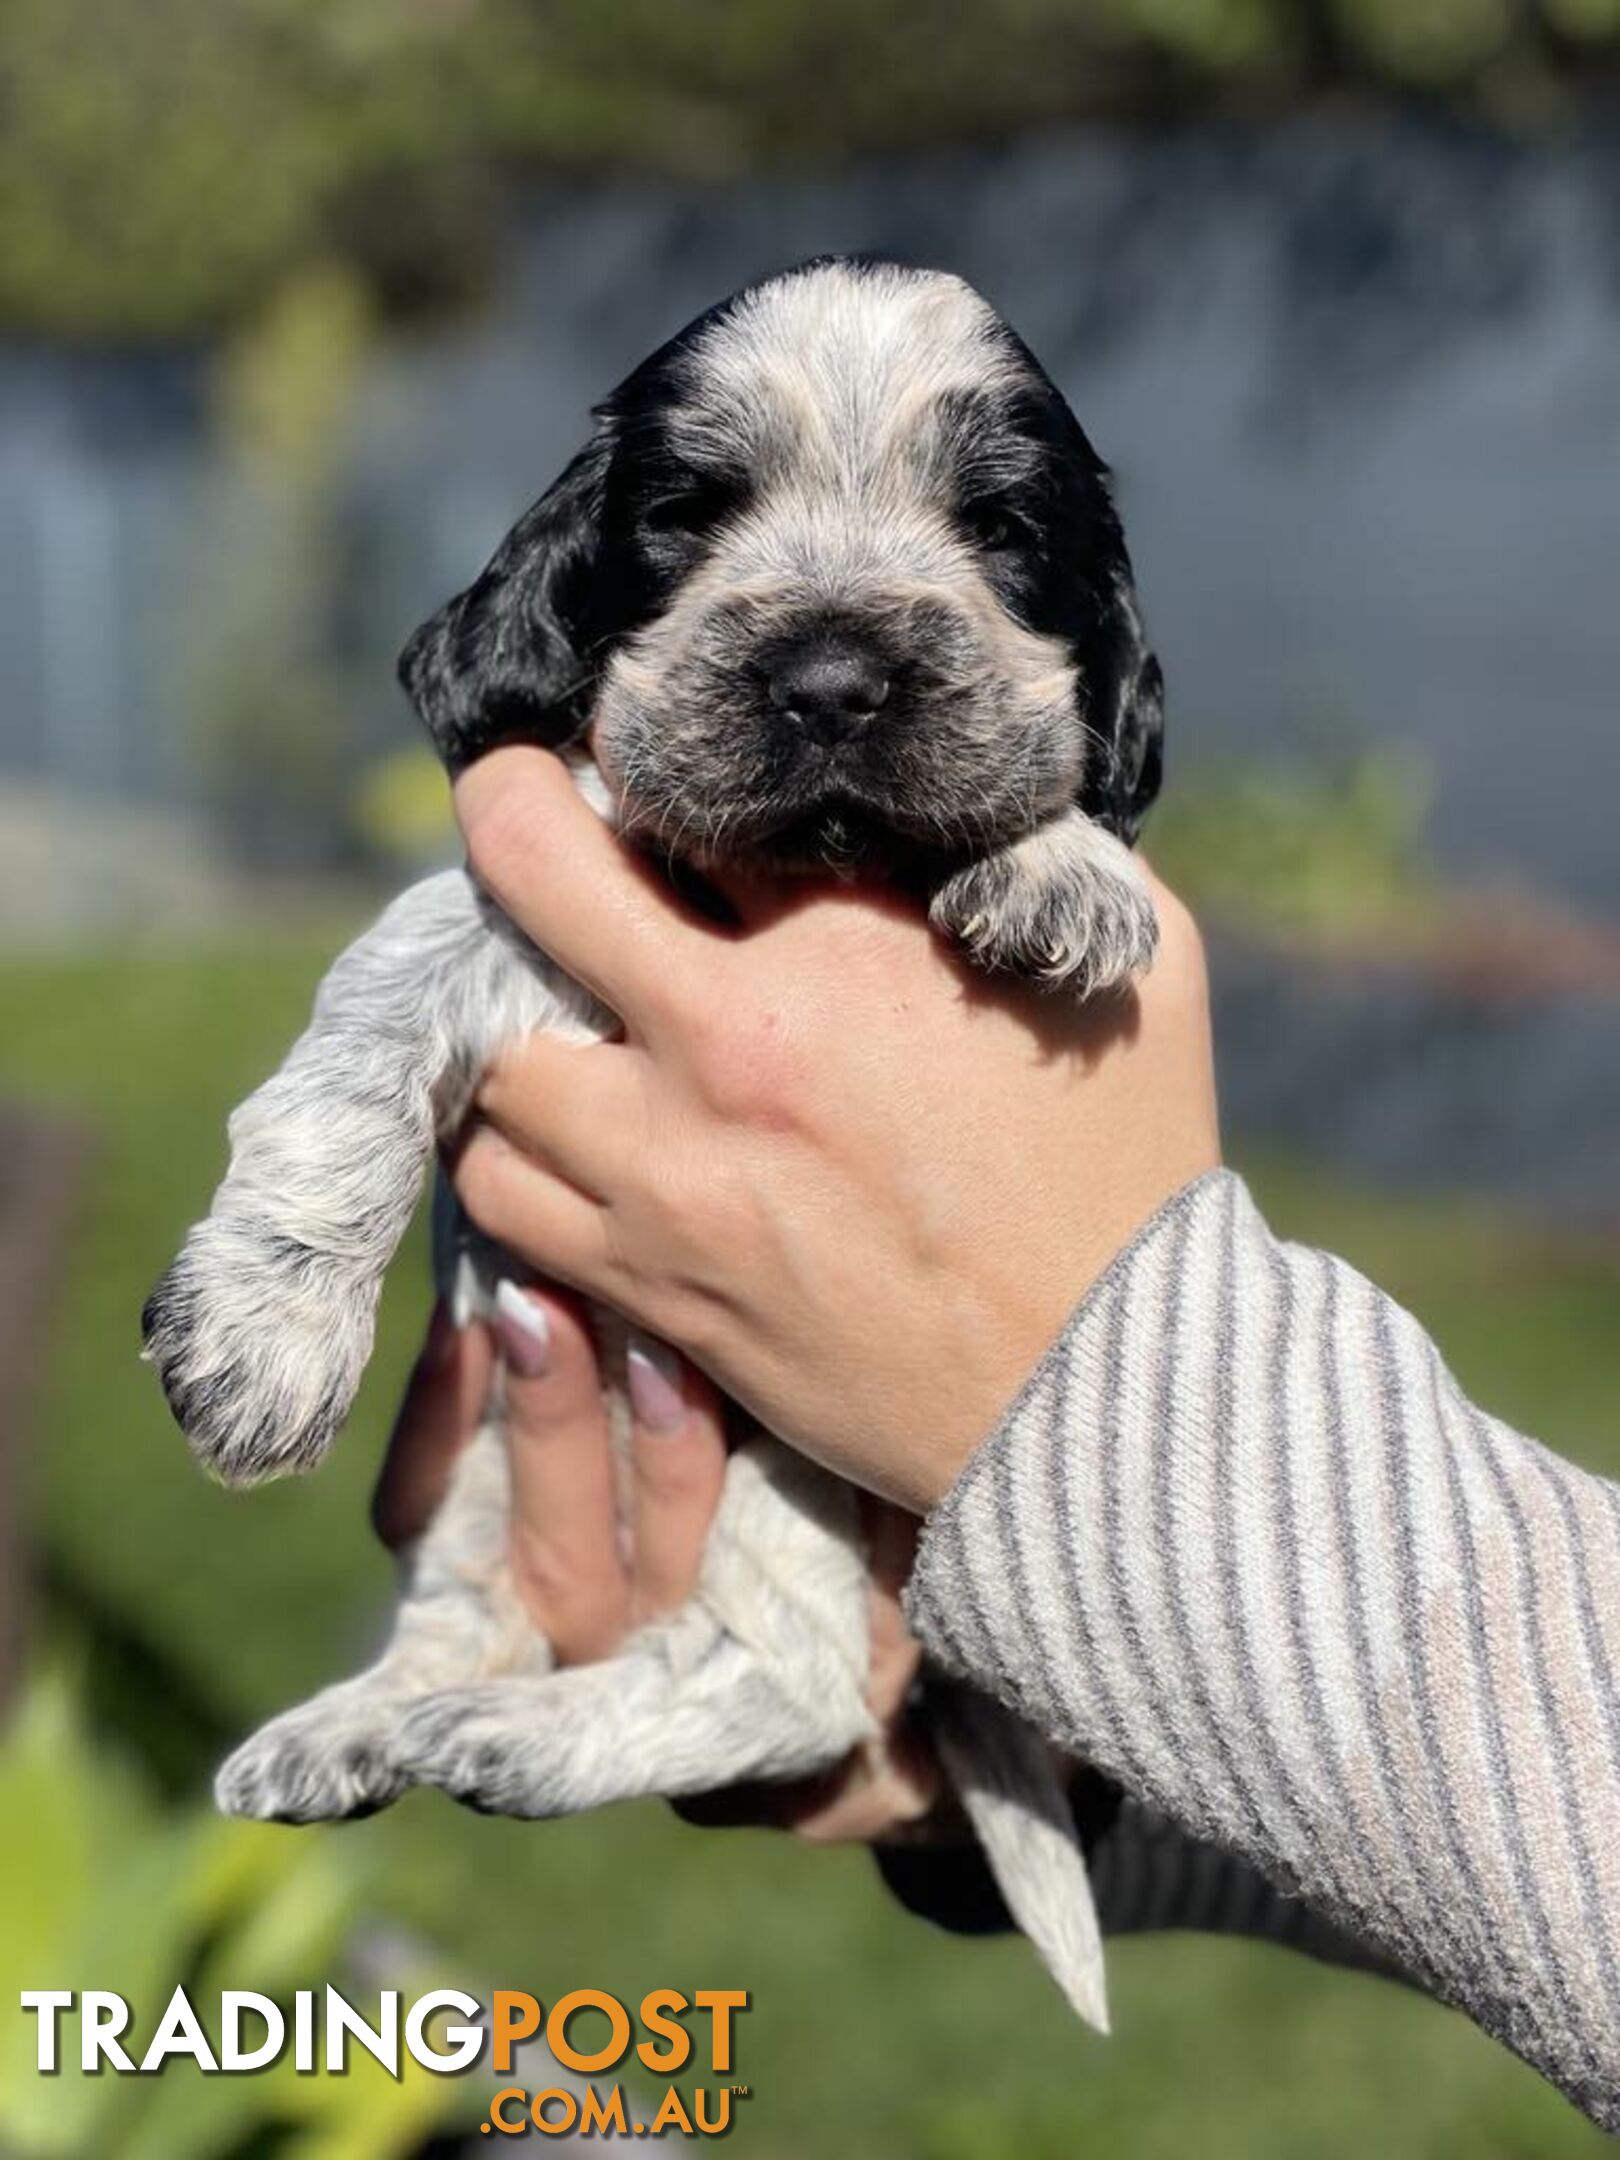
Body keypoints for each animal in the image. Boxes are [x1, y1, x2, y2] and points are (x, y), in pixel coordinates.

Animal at [145, 261, 1175, 2030]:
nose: (831, 679)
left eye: (1001, 528)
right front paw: (266, 1335)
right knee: (473, 1626)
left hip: (802, 1468)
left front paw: (1062, 865)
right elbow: (355, 1051)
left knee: (802, 1687)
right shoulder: (494, 908)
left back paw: (511, 1741)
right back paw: (366, 1726)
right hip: (486, 1456)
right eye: (689, 513)